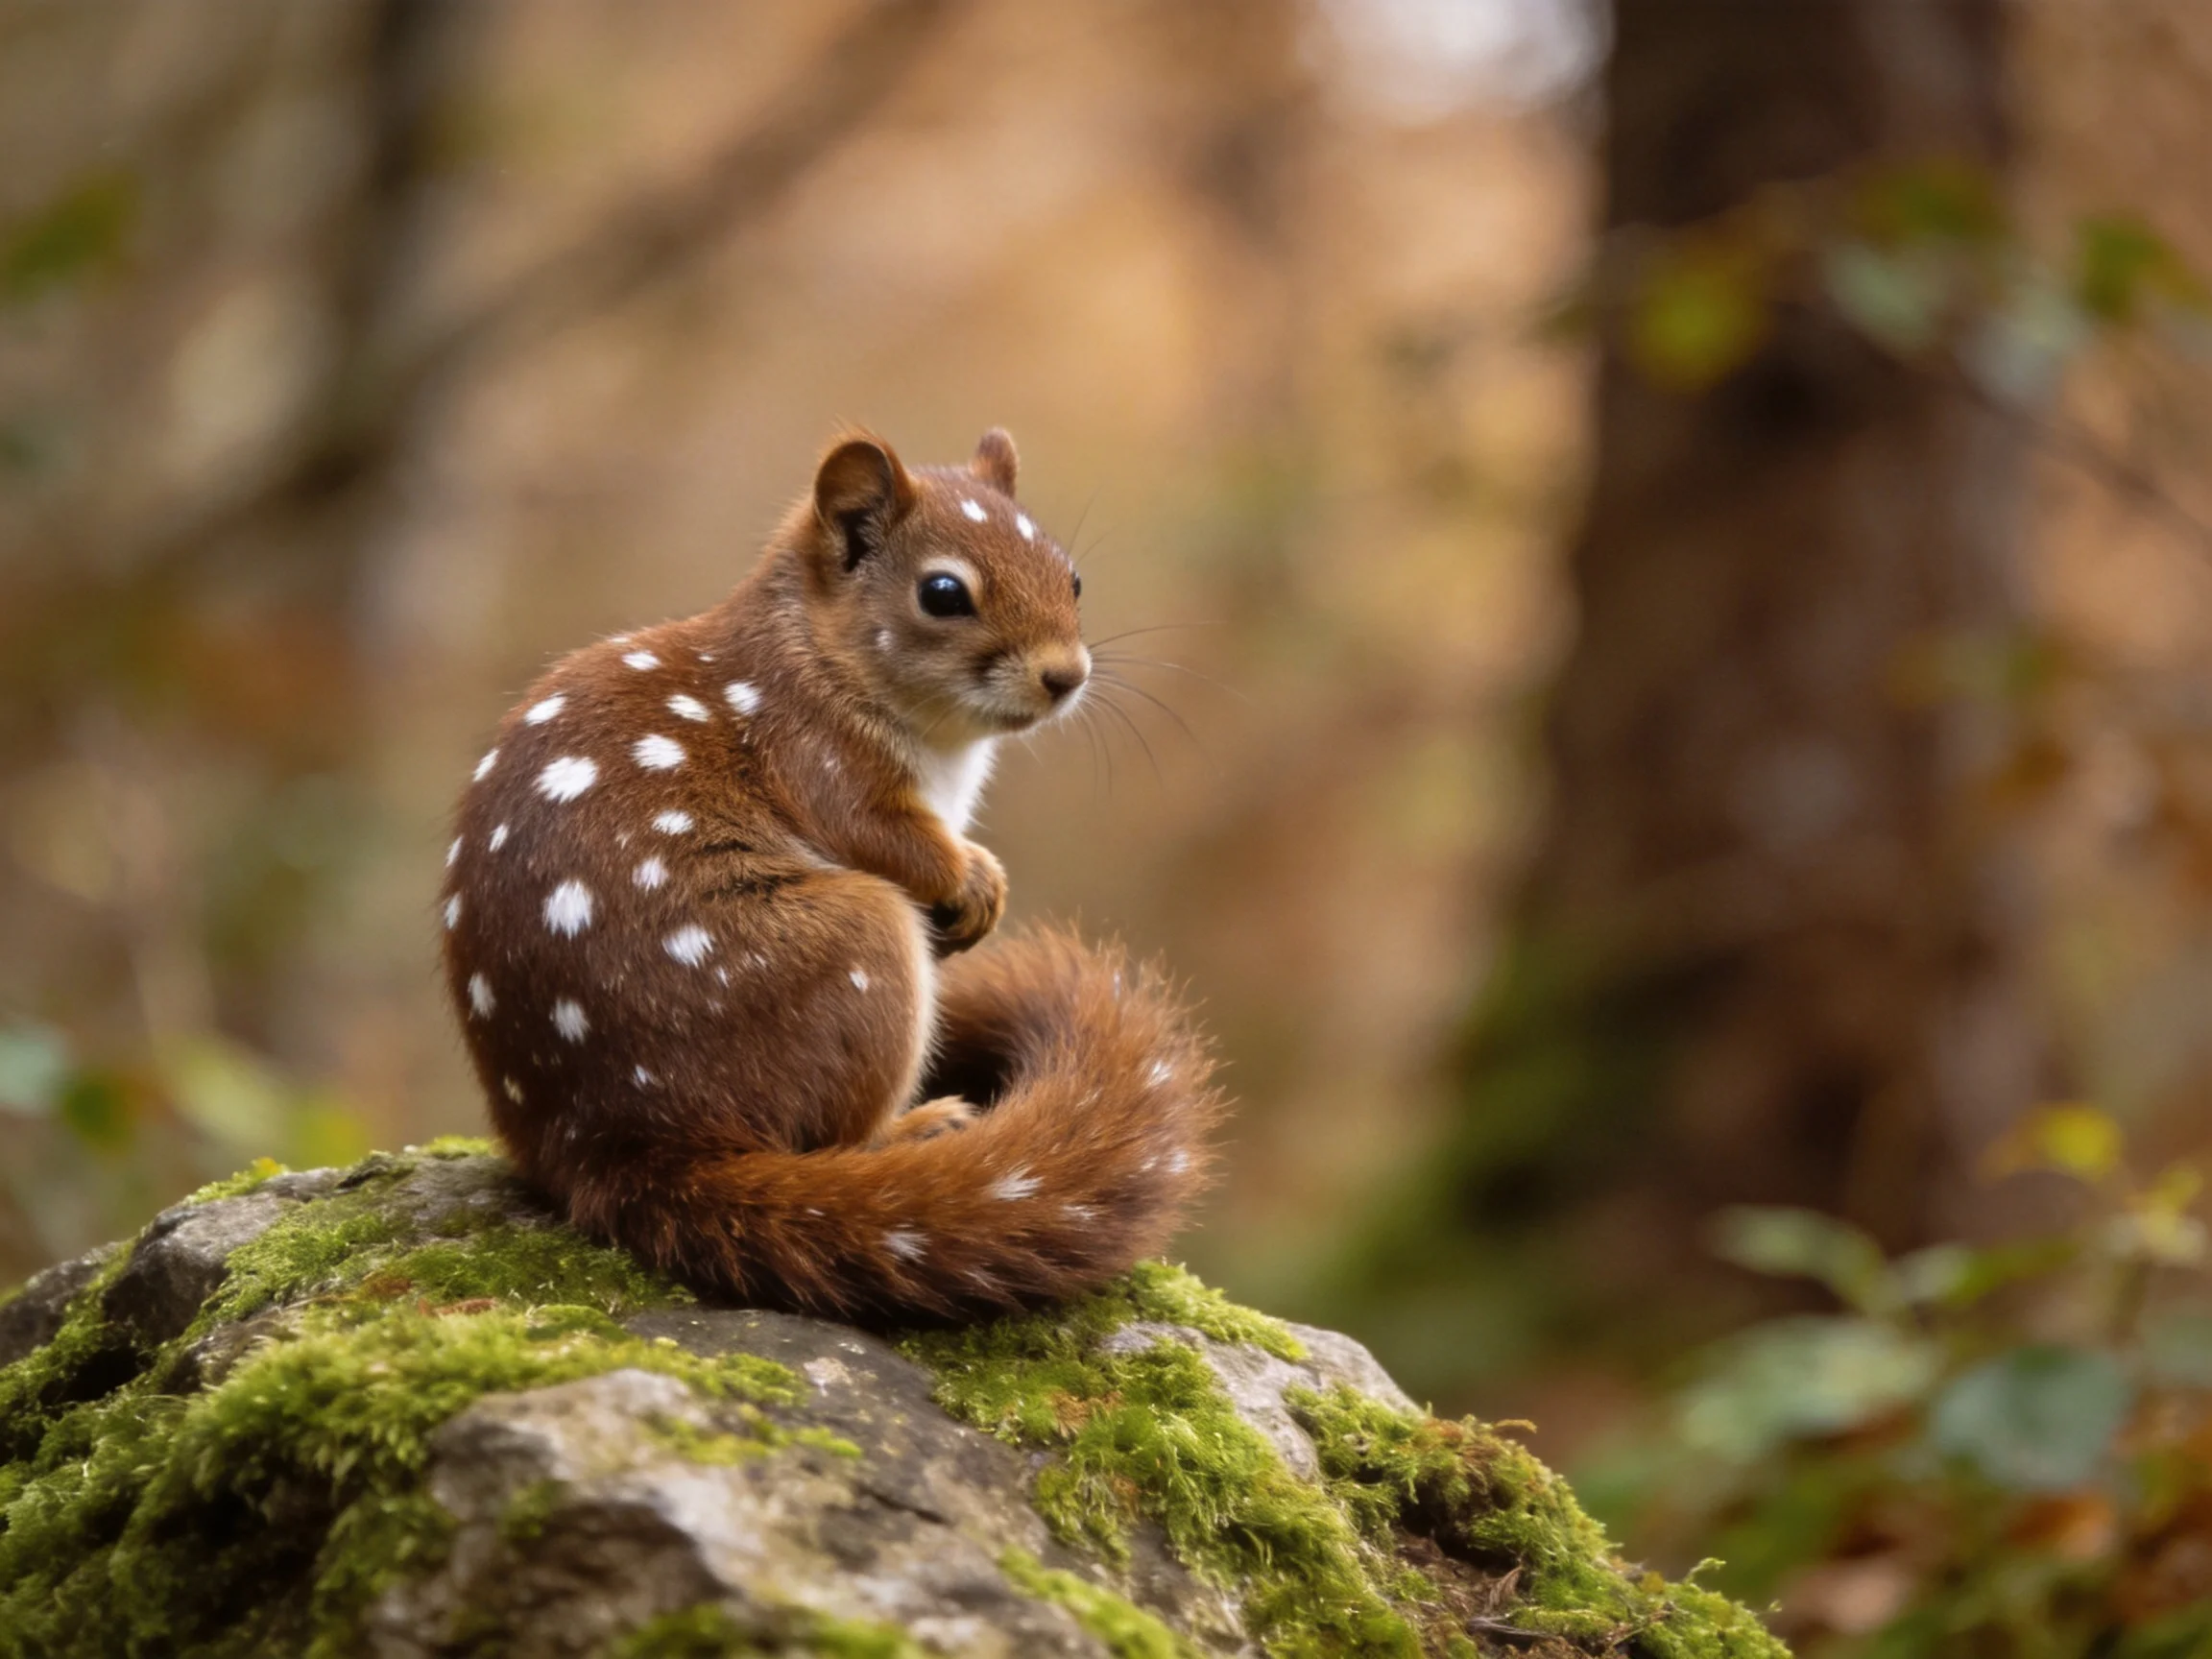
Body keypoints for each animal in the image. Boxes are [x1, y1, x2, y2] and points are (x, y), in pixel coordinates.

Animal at [439, 428, 1221, 1320]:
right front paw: (970, 878)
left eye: (1073, 576)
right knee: (834, 1135)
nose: (1067, 676)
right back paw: (916, 1129)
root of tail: (622, 1151)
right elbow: (892, 840)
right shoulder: (818, 758)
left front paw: (984, 887)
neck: (812, 651)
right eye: (943, 593)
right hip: (859, 946)